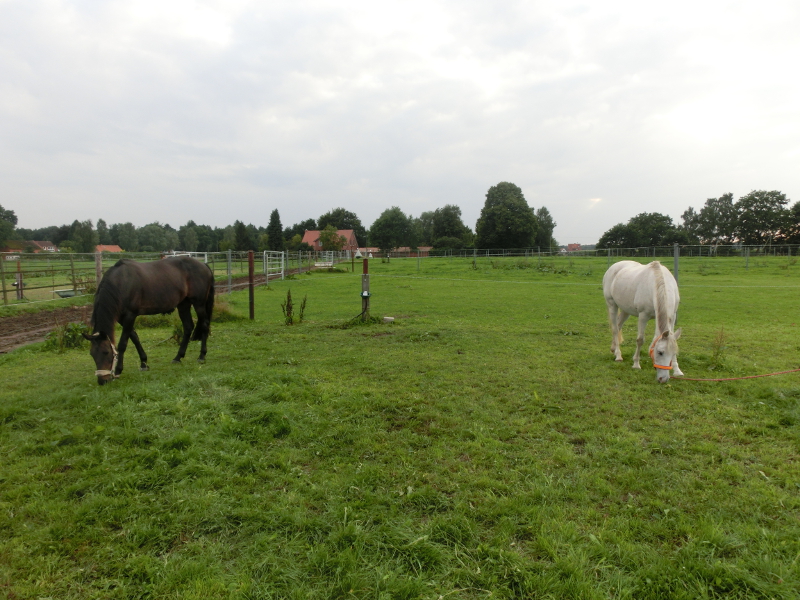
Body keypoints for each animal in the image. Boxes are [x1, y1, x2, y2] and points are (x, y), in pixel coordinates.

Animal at [82, 256, 215, 385]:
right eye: (92, 354)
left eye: (106, 352)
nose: (102, 381)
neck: (122, 283)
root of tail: (204, 265)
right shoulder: (122, 318)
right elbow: (135, 338)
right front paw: (144, 363)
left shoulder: (130, 315)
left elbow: (123, 344)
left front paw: (119, 370)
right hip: (183, 304)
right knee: (188, 327)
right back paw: (178, 357)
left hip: (199, 304)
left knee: (204, 325)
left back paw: (202, 356)